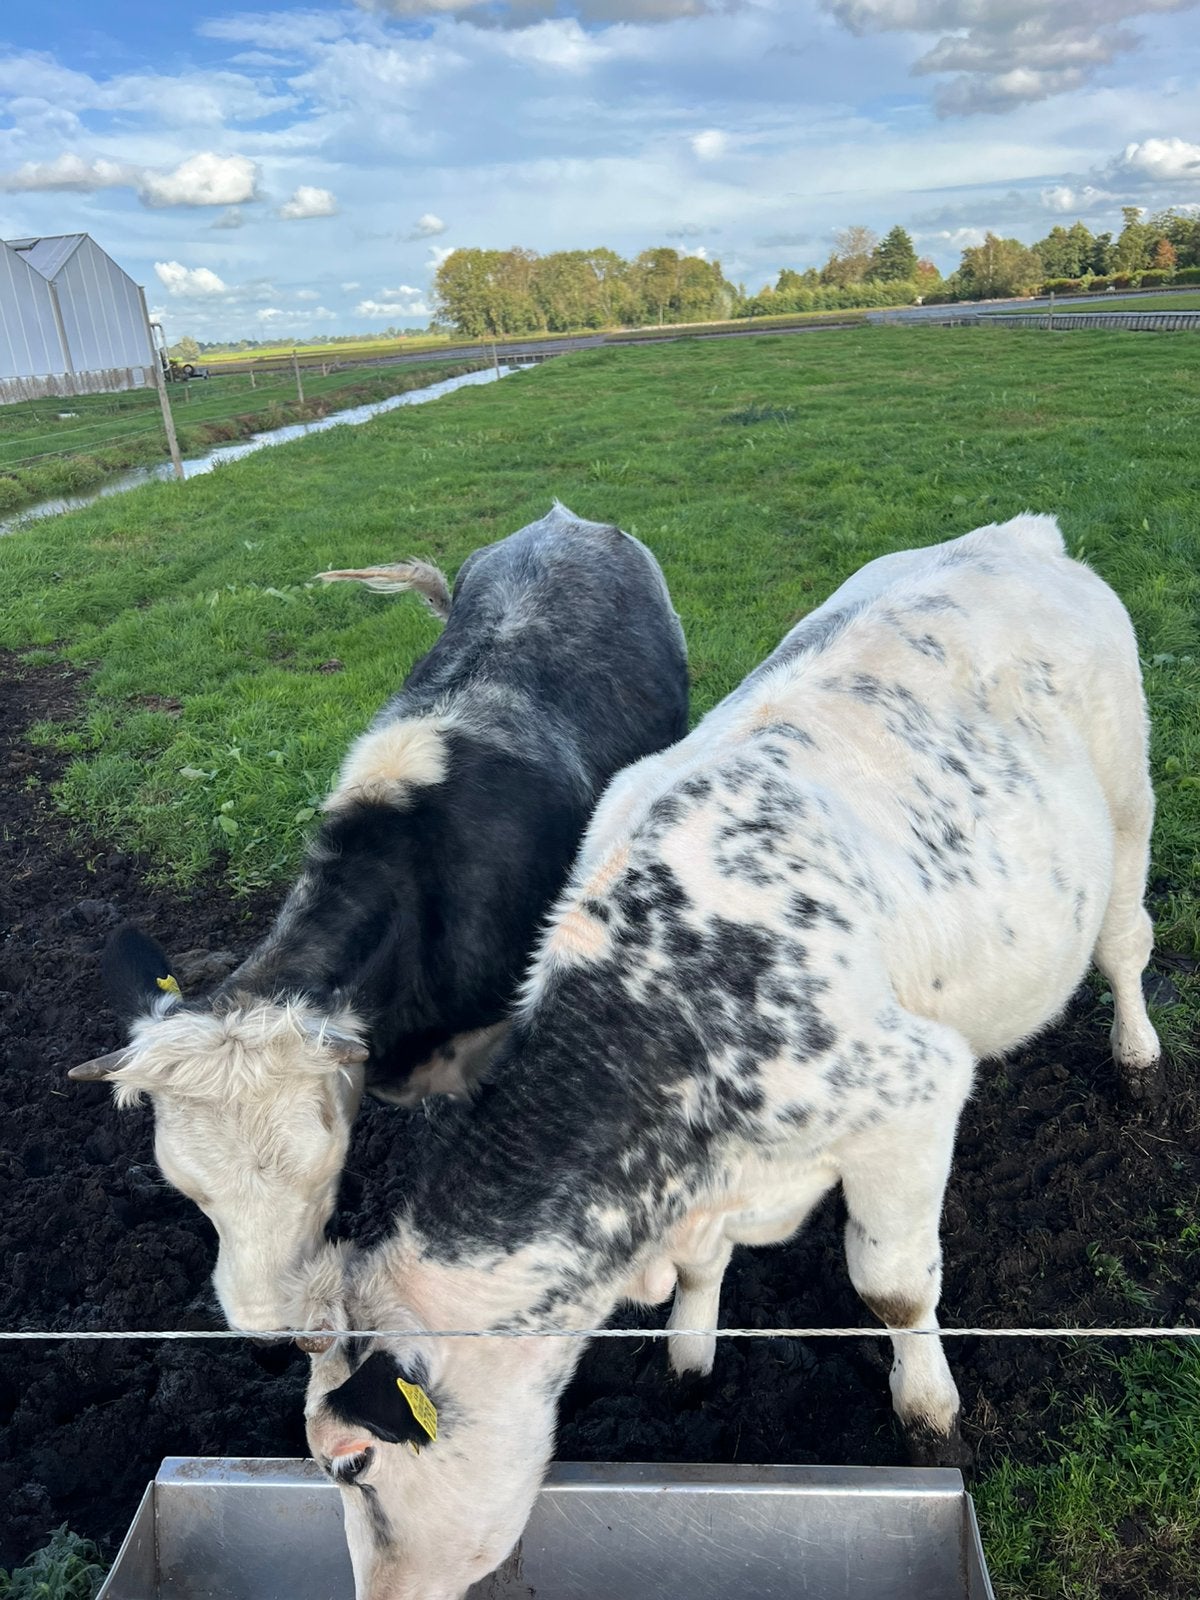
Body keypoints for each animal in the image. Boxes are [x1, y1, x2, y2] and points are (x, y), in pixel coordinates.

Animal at [298, 514, 1161, 1600]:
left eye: (350, 1463)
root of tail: (1021, 535)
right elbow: (706, 1275)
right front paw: (691, 1357)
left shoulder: (911, 1091)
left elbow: (894, 1284)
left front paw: (928, 1411)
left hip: (1131, 803)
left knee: (1126, 941)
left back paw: (1138, 1055)